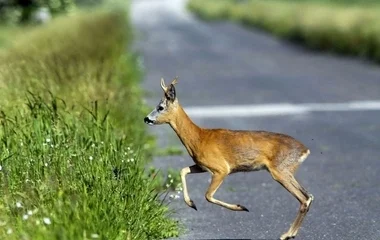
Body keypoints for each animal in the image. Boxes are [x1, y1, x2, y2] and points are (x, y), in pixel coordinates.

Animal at [144, 78, 314, 239]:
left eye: (160, 107)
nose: (146, 119)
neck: (199, 139)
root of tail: (305, 150)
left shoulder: (221, 168)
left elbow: (208, 195)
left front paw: (241, 207)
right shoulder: (202, 165)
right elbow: (183, 170)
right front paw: (191, 204)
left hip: (280, 169)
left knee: (304, 198)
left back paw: (286, 234)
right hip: (286, 170)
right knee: (308, 195)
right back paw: (290, 233)